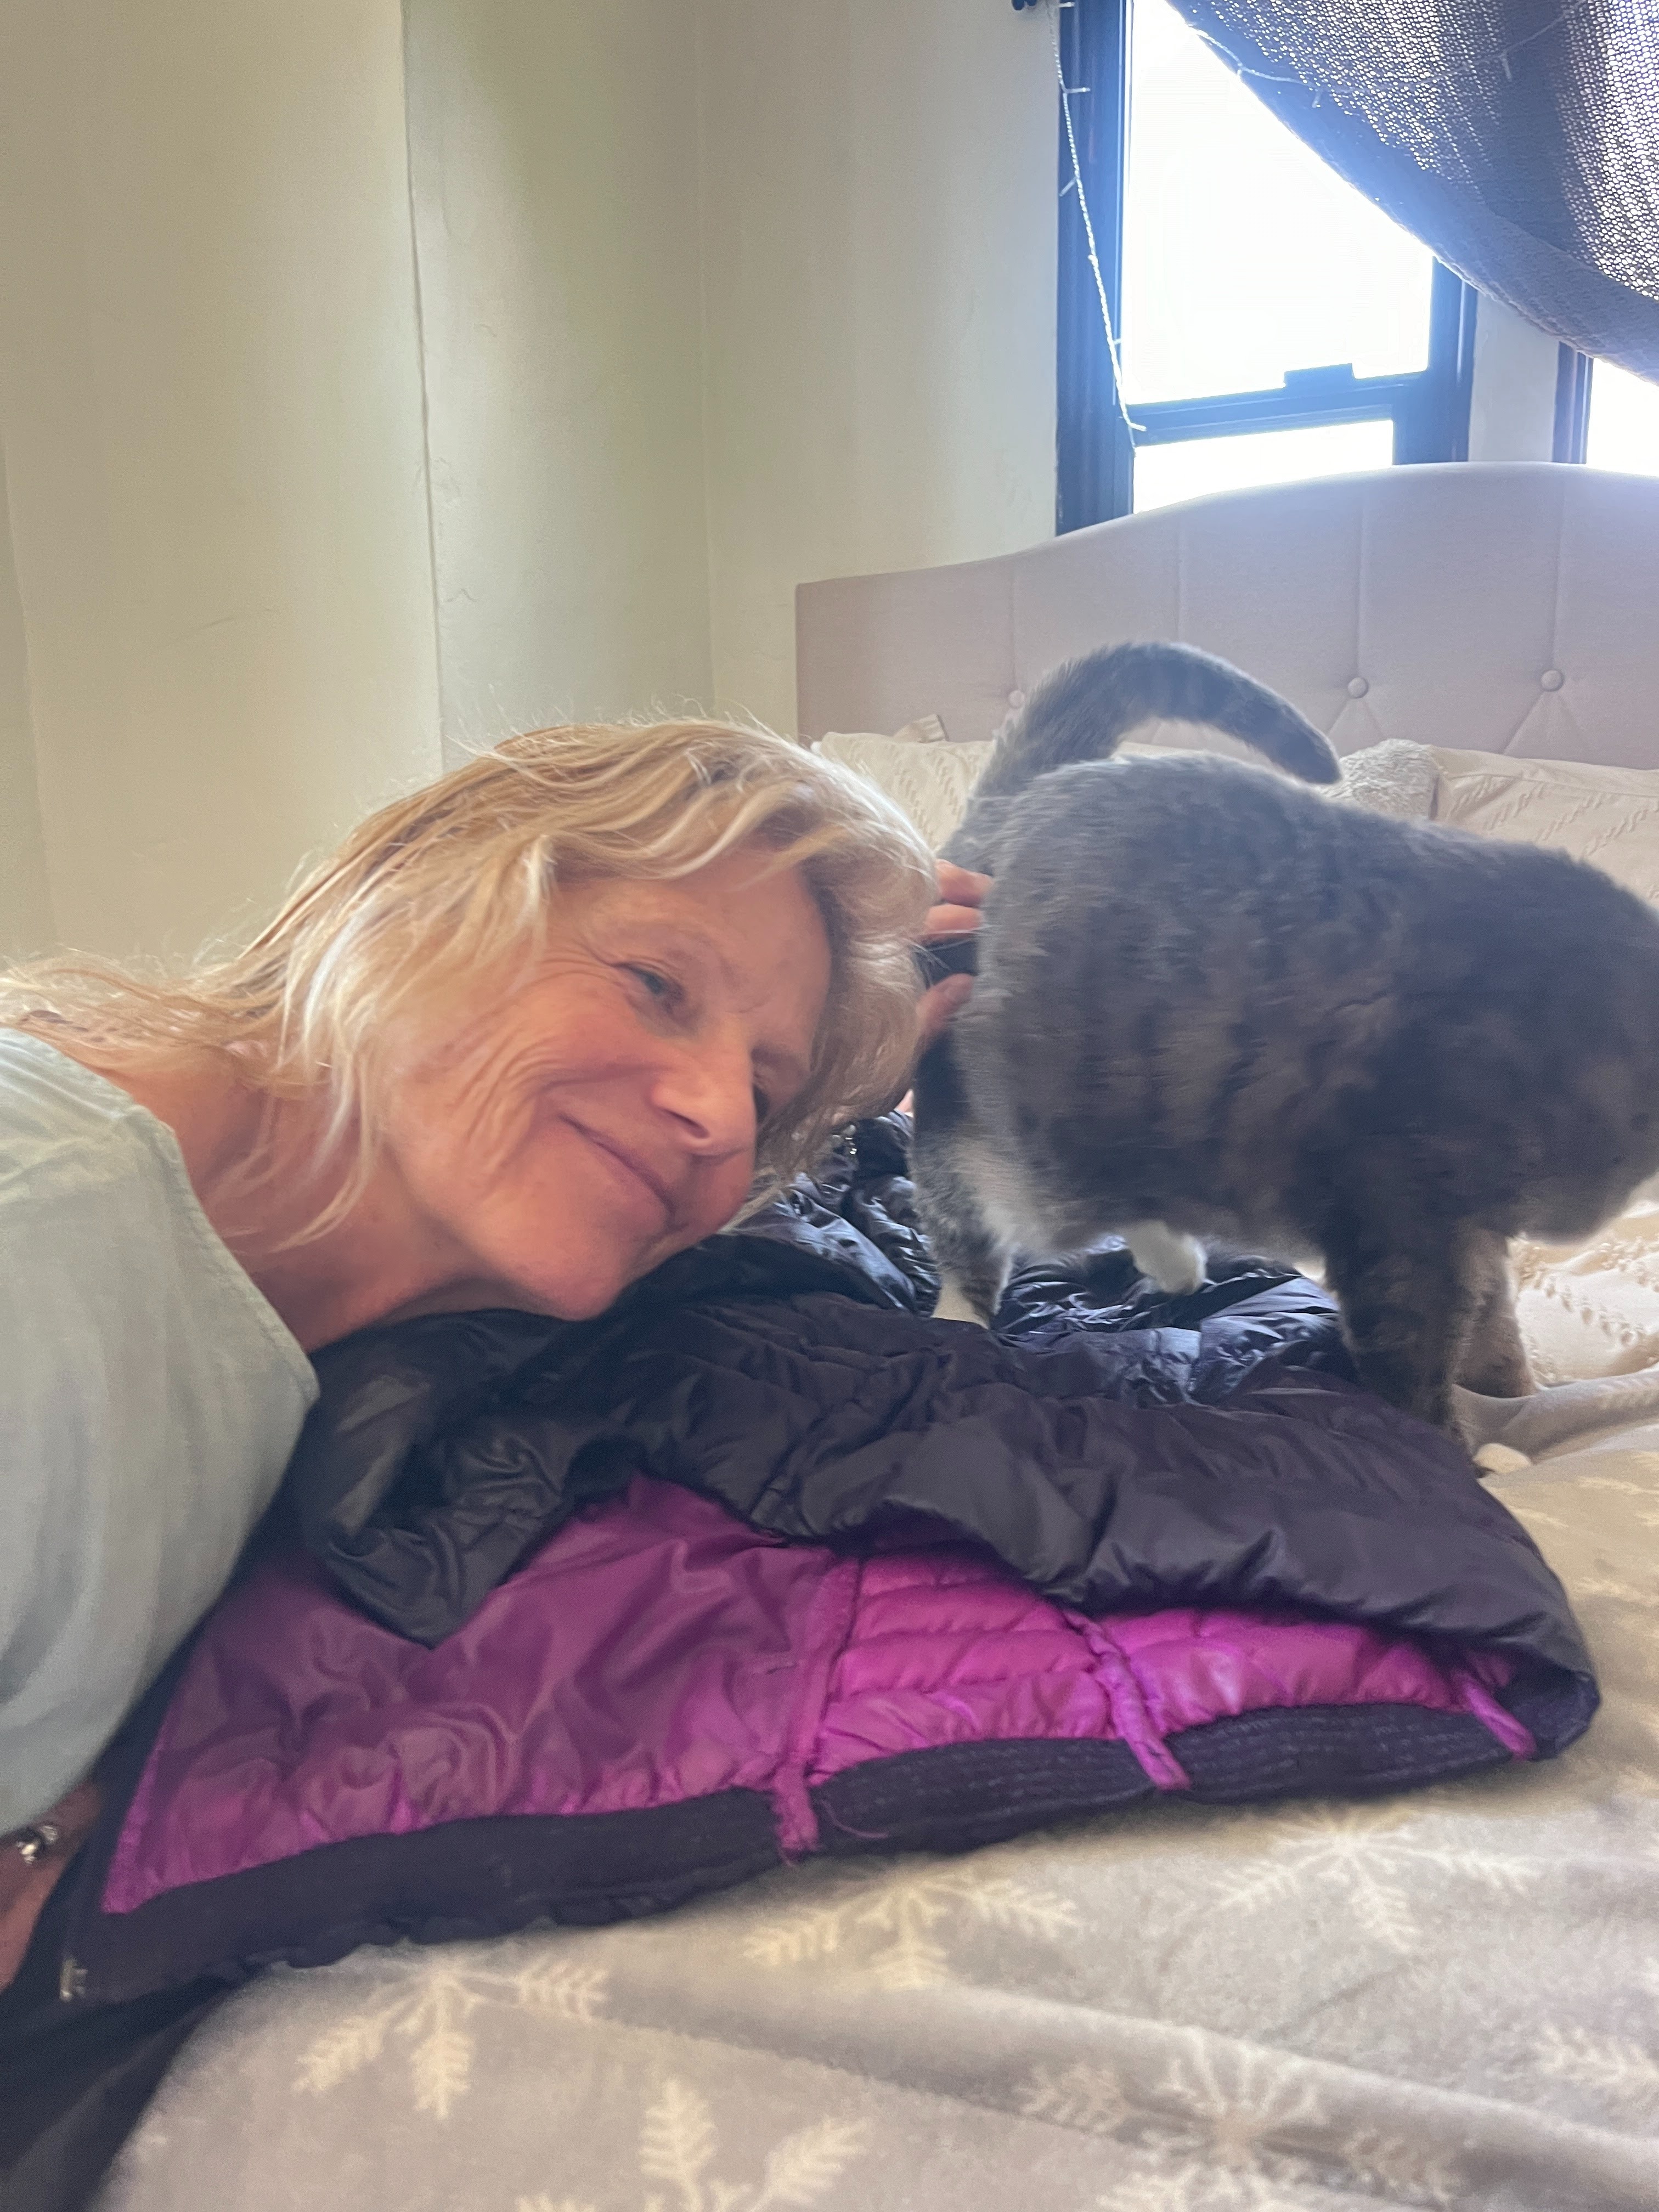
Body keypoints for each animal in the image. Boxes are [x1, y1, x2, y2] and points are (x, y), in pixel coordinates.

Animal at [911, 641, 1659, 1435]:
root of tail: (1008, 804)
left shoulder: (1472, 1229)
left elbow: (1495, 1322)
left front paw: (1512, 1399)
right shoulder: (1403, 1220)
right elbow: (1419, 1363)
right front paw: (1470, 1442)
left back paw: (1174, 1261)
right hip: (984, 1126)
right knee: (967, 1228)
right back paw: (957, 1325)